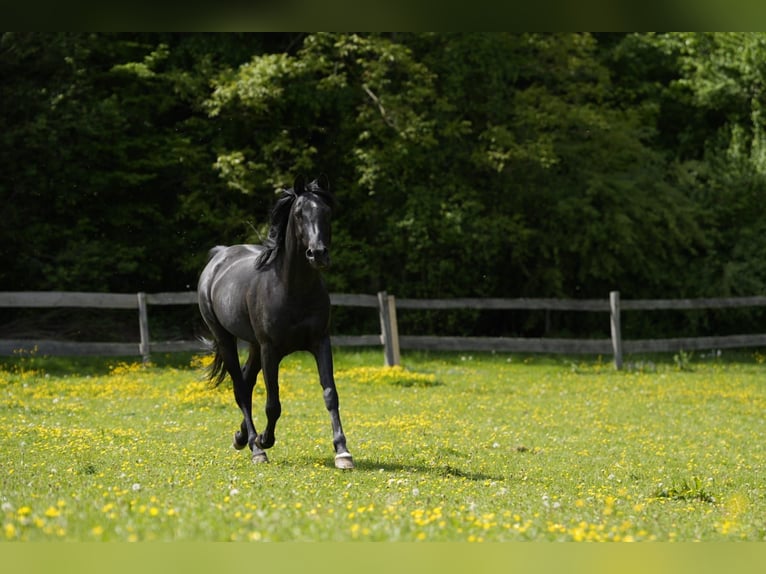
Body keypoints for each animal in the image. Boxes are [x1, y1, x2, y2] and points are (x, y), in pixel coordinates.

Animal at [198, 178, 354, 470]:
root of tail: (219, 256)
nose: (318, 254)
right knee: (240, 389)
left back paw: (241, 437)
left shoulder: (320, 342)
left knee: (246, 383)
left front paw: (342, 452)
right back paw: (255, 447)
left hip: (253, 346)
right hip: (226, 339)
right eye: (299, 214)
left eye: (327, 212)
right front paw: (265, 440)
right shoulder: (271, 350)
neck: (292, 288)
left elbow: (330, 394)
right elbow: (273, 404)